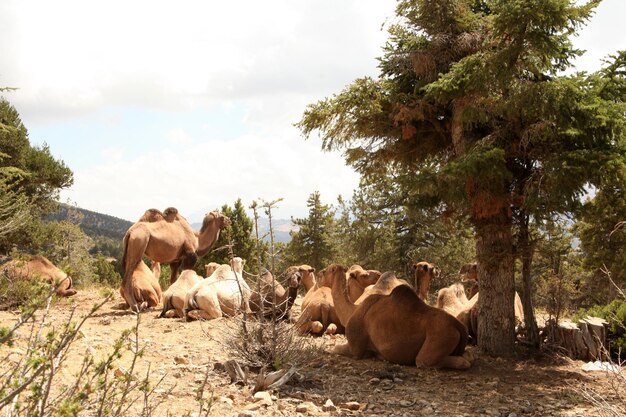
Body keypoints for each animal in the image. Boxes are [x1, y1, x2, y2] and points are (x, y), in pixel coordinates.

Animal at [324, 264, 470, 368]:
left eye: (327, 270)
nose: (320, 272)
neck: (351, 311)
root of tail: (458, 326)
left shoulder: (355, 349)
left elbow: (335, 349)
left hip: (441, 336)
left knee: (424, 360)